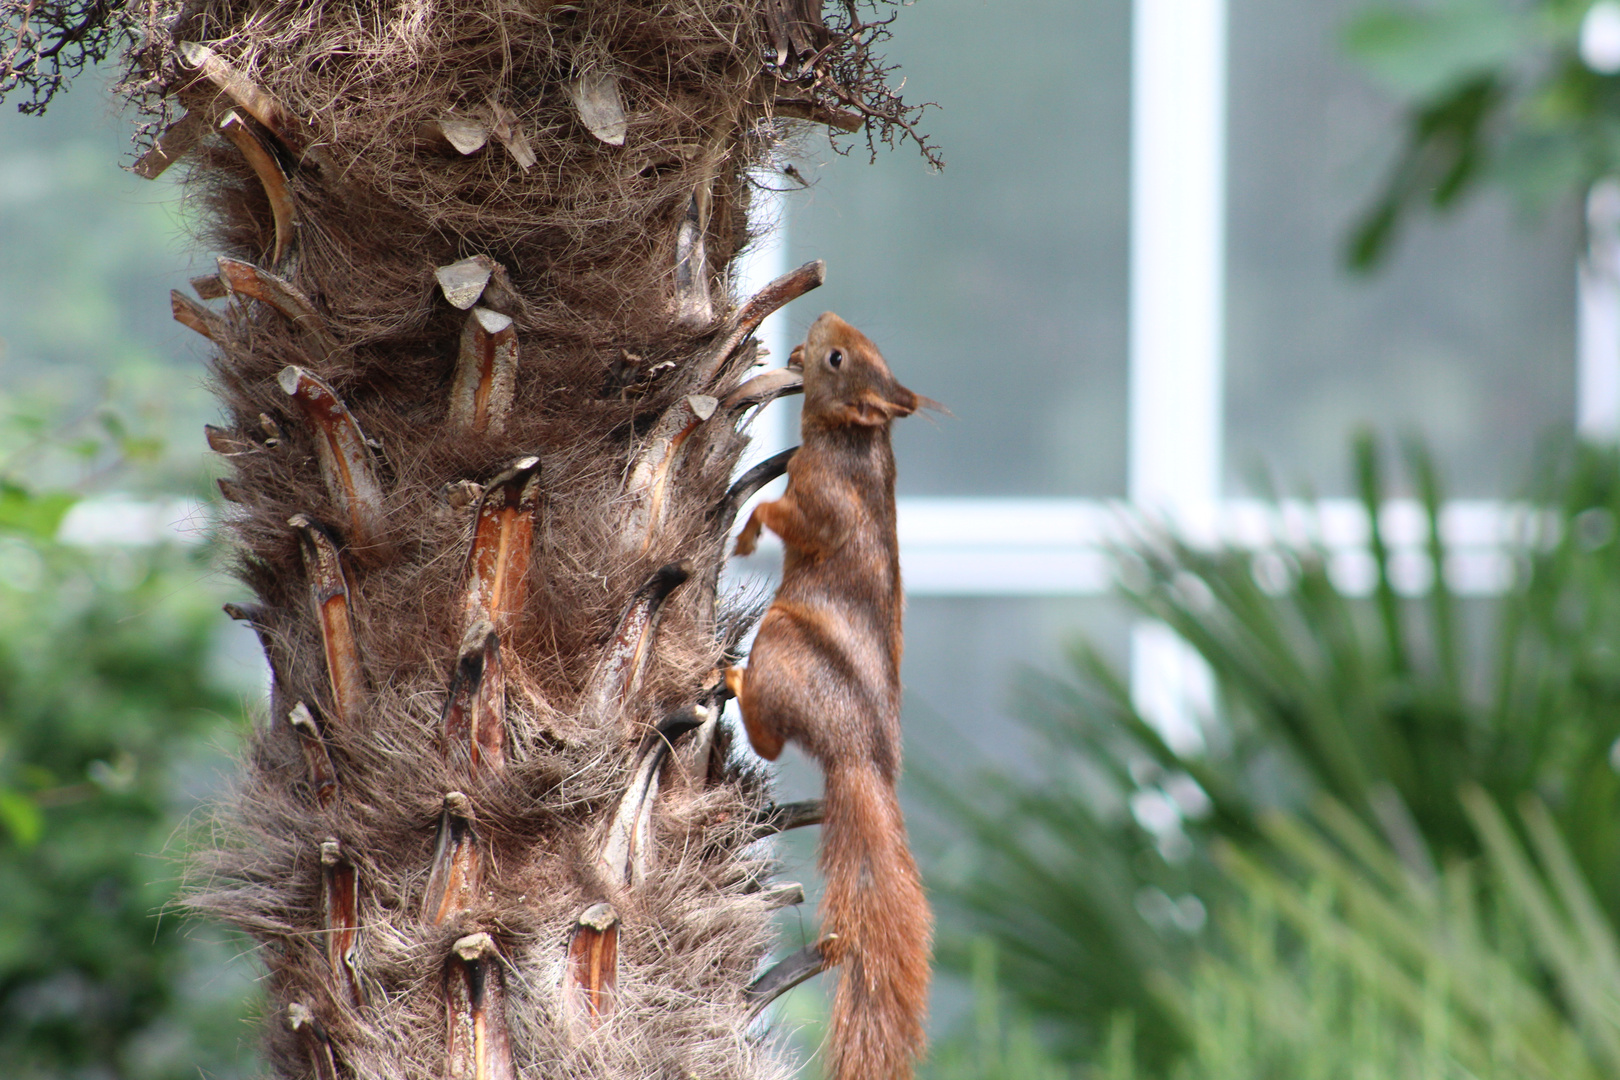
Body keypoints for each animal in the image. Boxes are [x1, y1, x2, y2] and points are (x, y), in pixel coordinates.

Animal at [725, 310, 933, 1080]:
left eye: (838, 357)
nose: (820, 318)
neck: (854, 443)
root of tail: (857, 757)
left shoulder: (815, 499)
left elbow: (782, 514)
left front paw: (747, 533)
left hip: (780, 639)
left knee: (766, 740)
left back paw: (731, 681)